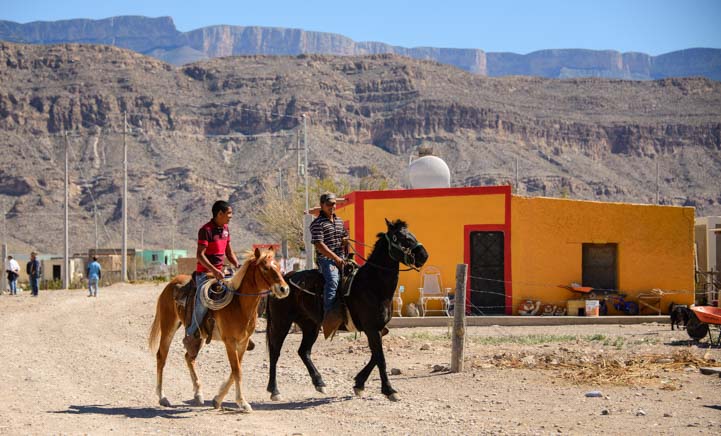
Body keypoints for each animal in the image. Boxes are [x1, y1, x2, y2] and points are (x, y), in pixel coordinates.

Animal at [148, 249, 288, 412]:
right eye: (265, 268)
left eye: (278, 266)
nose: (284, 289)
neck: (239, 304)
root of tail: (171, 284)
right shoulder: (229, 342)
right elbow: (237, 371)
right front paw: (242, 402)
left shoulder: (243, 342)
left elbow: (236, 370)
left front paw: (217, 399)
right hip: (168, 326)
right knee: (161, 357)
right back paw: (162, 397)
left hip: (199, 337)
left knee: (189, 357)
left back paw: (198, 394)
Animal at [268, 218, 428, 402]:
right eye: (399, 237)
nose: (424, 255)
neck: (372, 285)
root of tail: (283, 279)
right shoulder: (371, 329)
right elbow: (380, 358)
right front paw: (389, 390)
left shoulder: (379, 329)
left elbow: (375, 355)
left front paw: (359, 384)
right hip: (281, 323)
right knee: (275, 352)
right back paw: (274, 390)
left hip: (310, 326)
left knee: (304, 351)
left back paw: (319, 383)